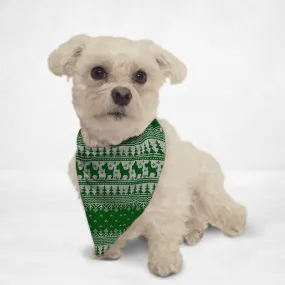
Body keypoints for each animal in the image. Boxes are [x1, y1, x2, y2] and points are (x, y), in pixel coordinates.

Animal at [47, 35, 245, 276]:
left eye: (141, 76)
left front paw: (164, 261)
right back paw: (192, 231)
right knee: (196, 218)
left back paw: (234, 222)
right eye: (97, 72)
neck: (118, 148)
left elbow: (165, 231)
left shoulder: (168, 198)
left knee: (222, 207)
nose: (122, 94)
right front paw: (108, 251)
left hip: (206, 190)